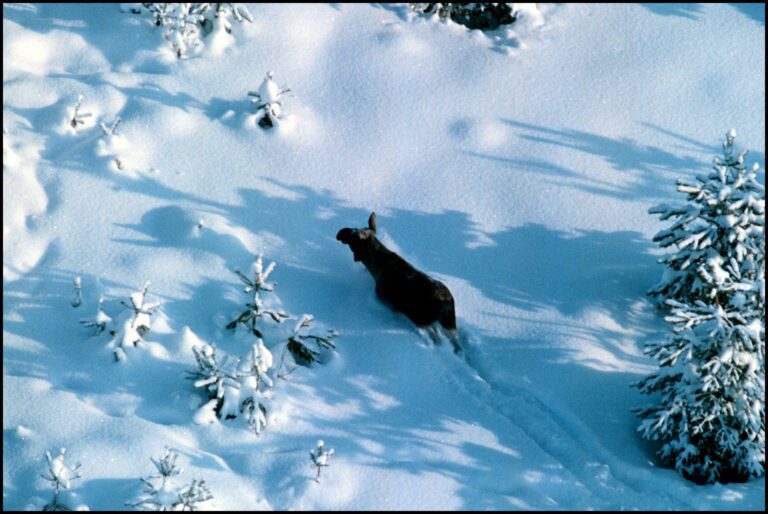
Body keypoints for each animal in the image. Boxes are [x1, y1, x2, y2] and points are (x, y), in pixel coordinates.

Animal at [334, 210, 456, 350]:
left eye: (352, 234)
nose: (339, 233)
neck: (374, 269)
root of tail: (447, 305)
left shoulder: (384, 299)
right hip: (450, 324)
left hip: (420, 318)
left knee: (435, 338)